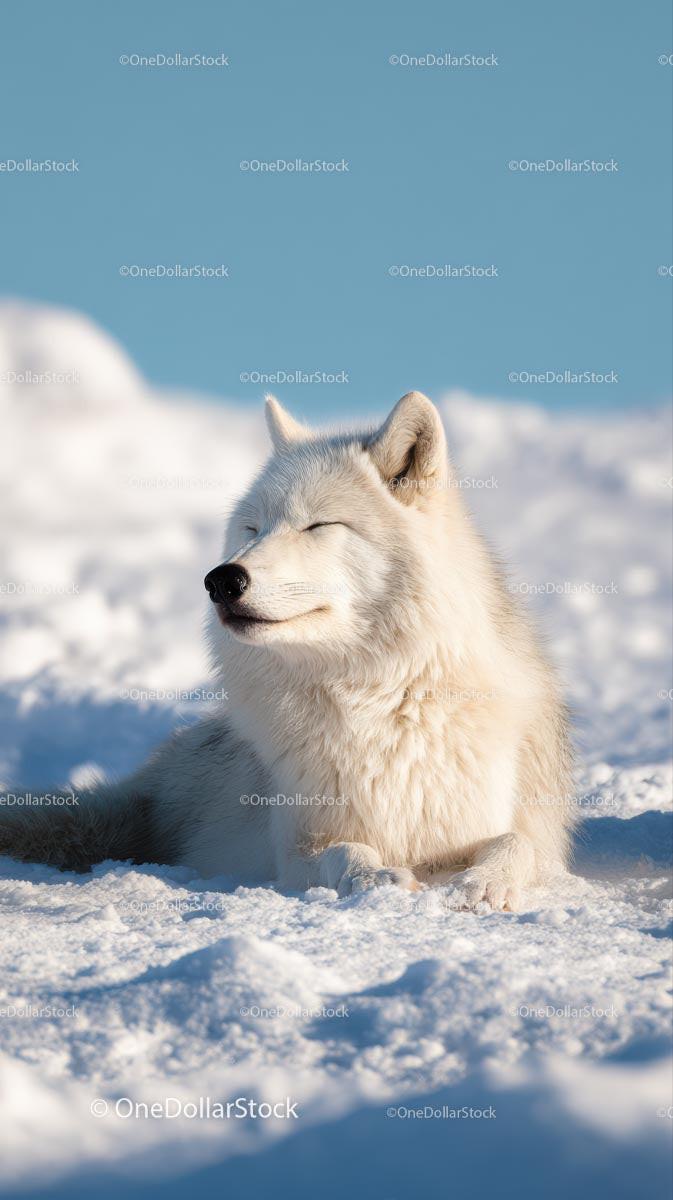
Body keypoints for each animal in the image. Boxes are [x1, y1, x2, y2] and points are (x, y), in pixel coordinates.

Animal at [0, 392, 574, 909]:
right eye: (252, 529)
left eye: (318, 524)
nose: (221, 580)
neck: (380, 696)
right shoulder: (298, 847)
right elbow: (346, 852)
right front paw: (375, 880)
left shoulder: (499, 831)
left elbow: (516, 844)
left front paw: (483, 884)